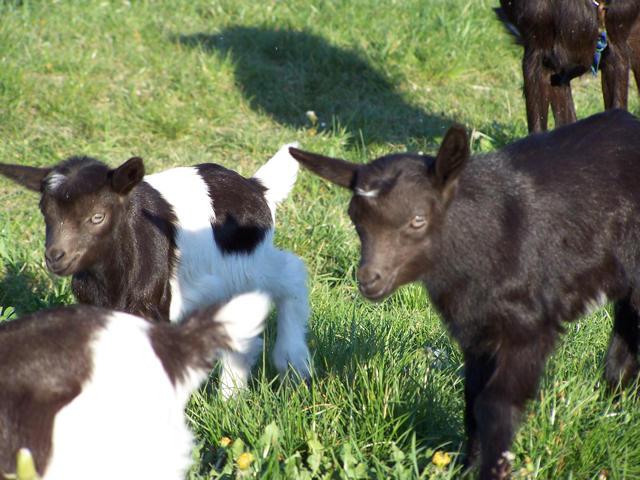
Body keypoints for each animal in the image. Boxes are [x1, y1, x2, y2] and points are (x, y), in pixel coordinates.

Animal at [288, 109, 640, 480]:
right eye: (355, 218)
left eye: (417, 219)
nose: (369, 279)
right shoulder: (475, 331)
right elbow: (472, 398)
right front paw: (468, 466)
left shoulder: (530, 327)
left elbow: (494, 403)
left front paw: (493, 469)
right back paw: (613, 408)